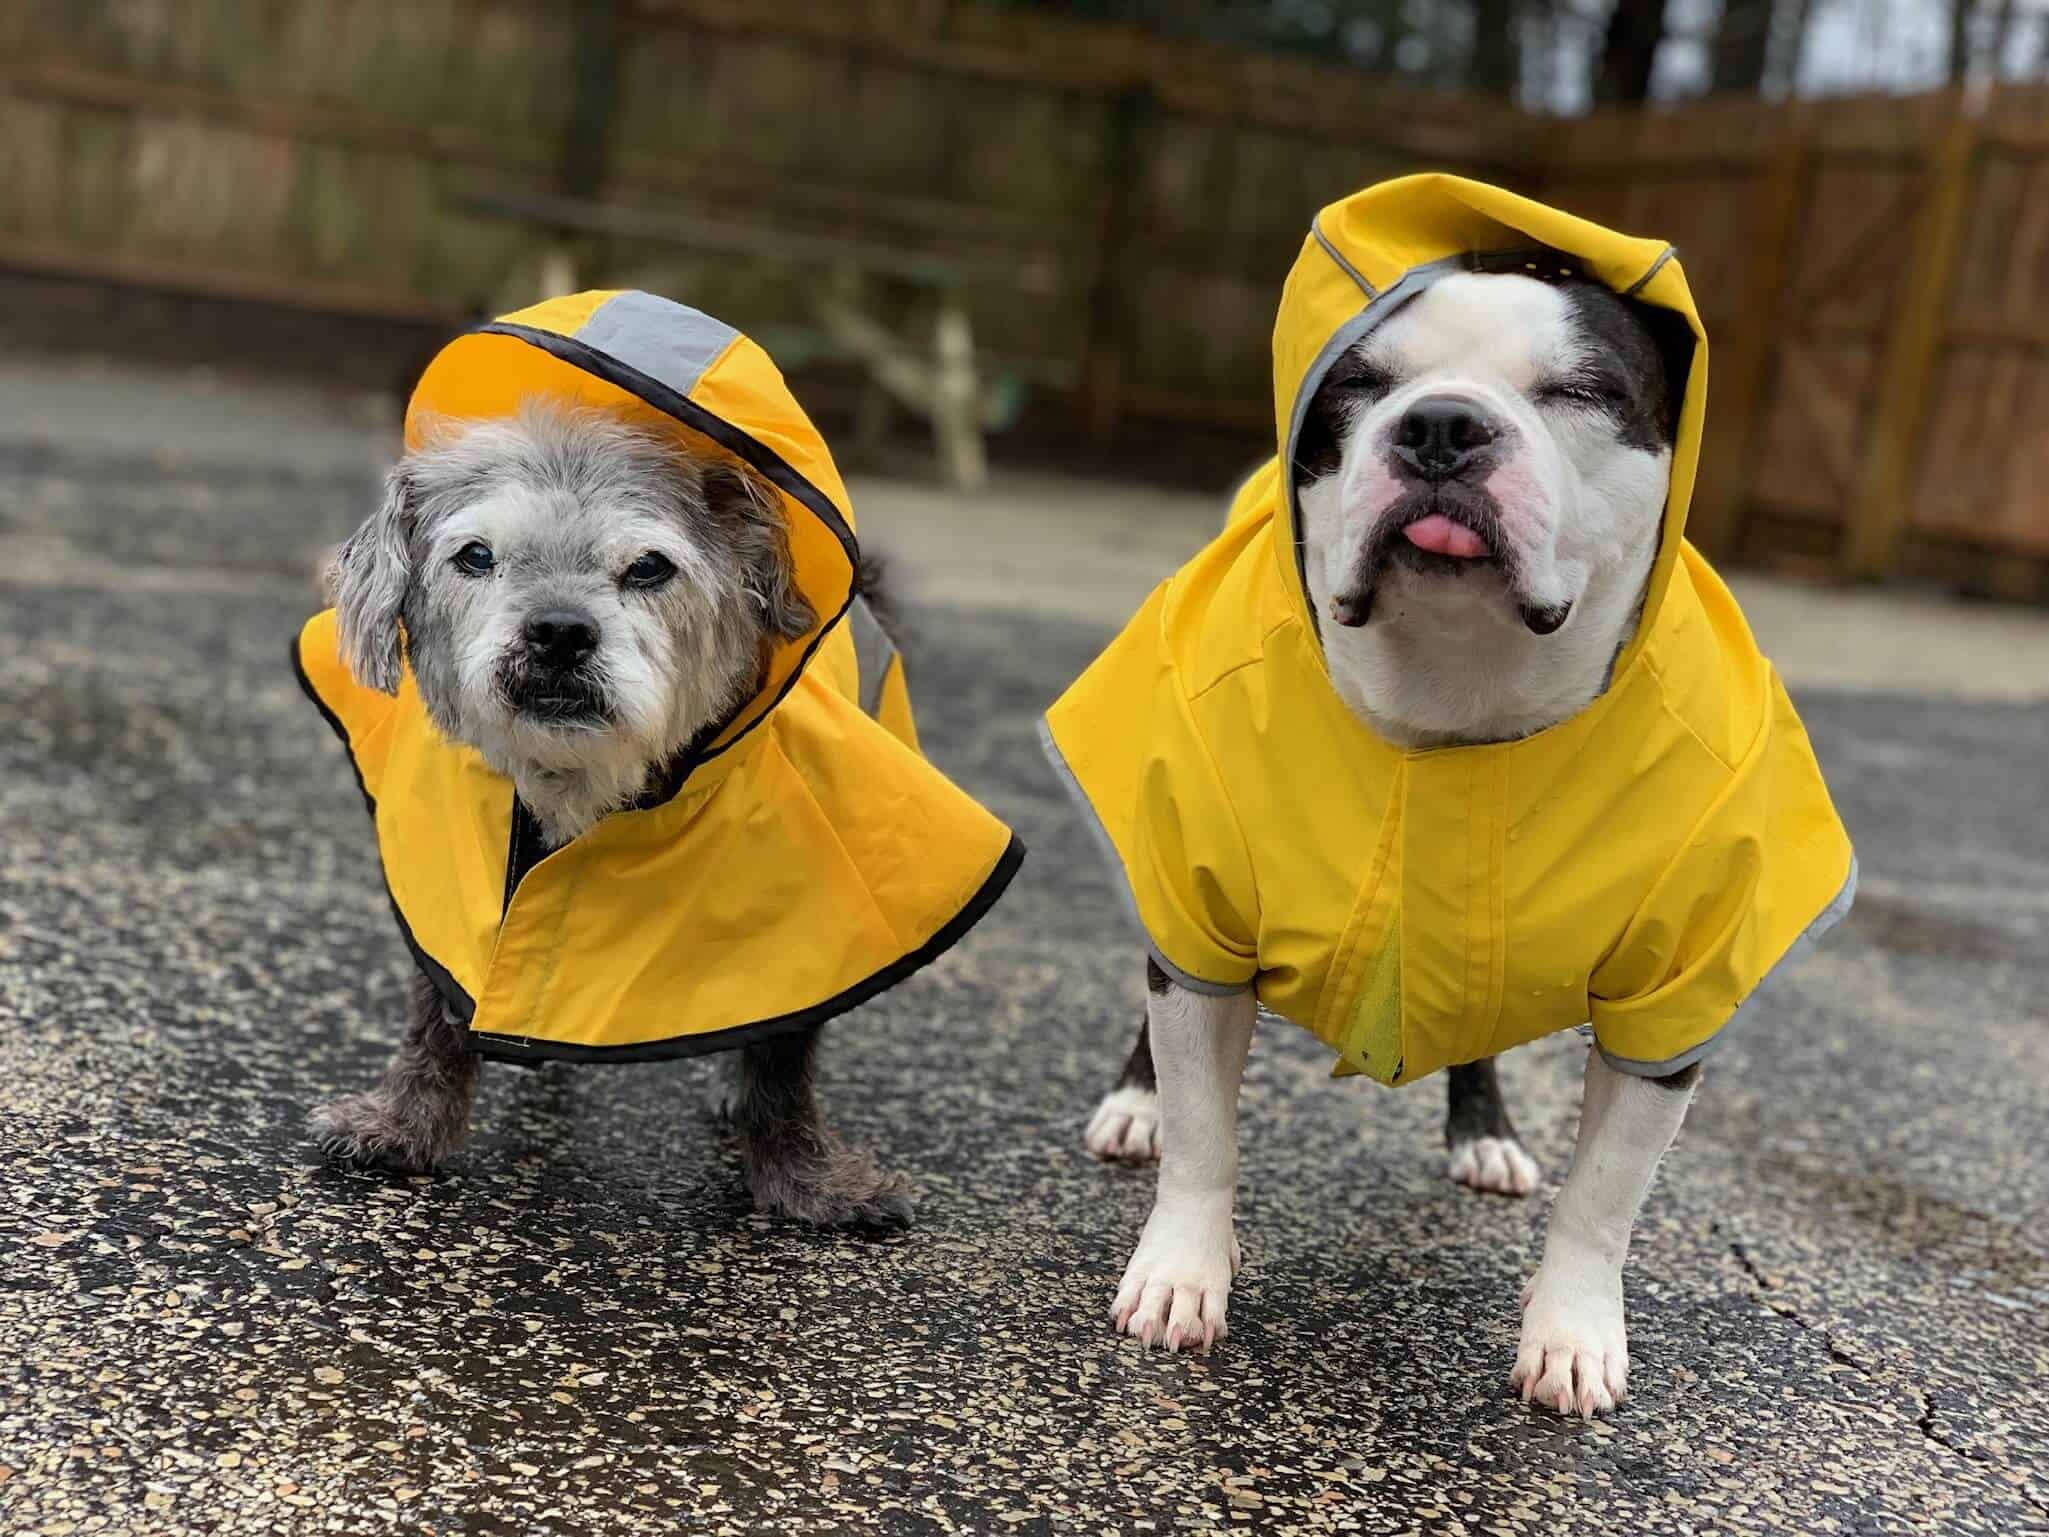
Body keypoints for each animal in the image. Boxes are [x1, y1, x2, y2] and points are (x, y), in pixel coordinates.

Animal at [1090, 268, 1696, 1418]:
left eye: (1583, 390)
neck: (1453, 687)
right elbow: (1203, 1132)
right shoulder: (1198, 922)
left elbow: (1605, 1195)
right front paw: (1183, 1267)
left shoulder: (1670, 1007)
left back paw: (1487, 1133)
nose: (1442, 426)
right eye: (1358, 383)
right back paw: (1134, 1105)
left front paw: (1571, 1333)